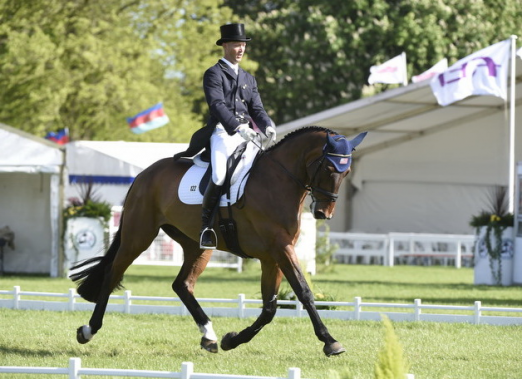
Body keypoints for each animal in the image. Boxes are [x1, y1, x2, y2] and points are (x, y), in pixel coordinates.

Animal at [70, 127, 366, 356]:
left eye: (347, 171)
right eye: (328, 167)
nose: (324, 213)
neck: (279, 181)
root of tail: (144, 174)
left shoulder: (273, 256)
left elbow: (270, 307)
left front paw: (232, 340)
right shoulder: (280, 249)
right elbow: (303, 292)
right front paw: (330, 341)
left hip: (197, 245)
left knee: (182, 285)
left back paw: (209, 336)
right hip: (138, 236)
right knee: (112, 273)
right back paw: (88, 330)